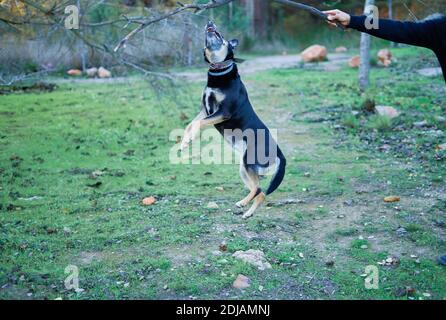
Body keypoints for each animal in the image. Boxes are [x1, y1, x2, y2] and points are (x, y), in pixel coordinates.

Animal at [180, 21, 288, 219]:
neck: (218, 70)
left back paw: (247, 209)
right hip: (244, 169)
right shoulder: (204, 110)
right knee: (258, 190)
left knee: (260, 191)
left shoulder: (223, 112)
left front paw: (189, 140)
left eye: (221, 35)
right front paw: (184, 142)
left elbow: (198, 124)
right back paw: (245, 205)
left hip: (249, 162)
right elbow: (190, 124)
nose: (210, 22)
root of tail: (280, 155)